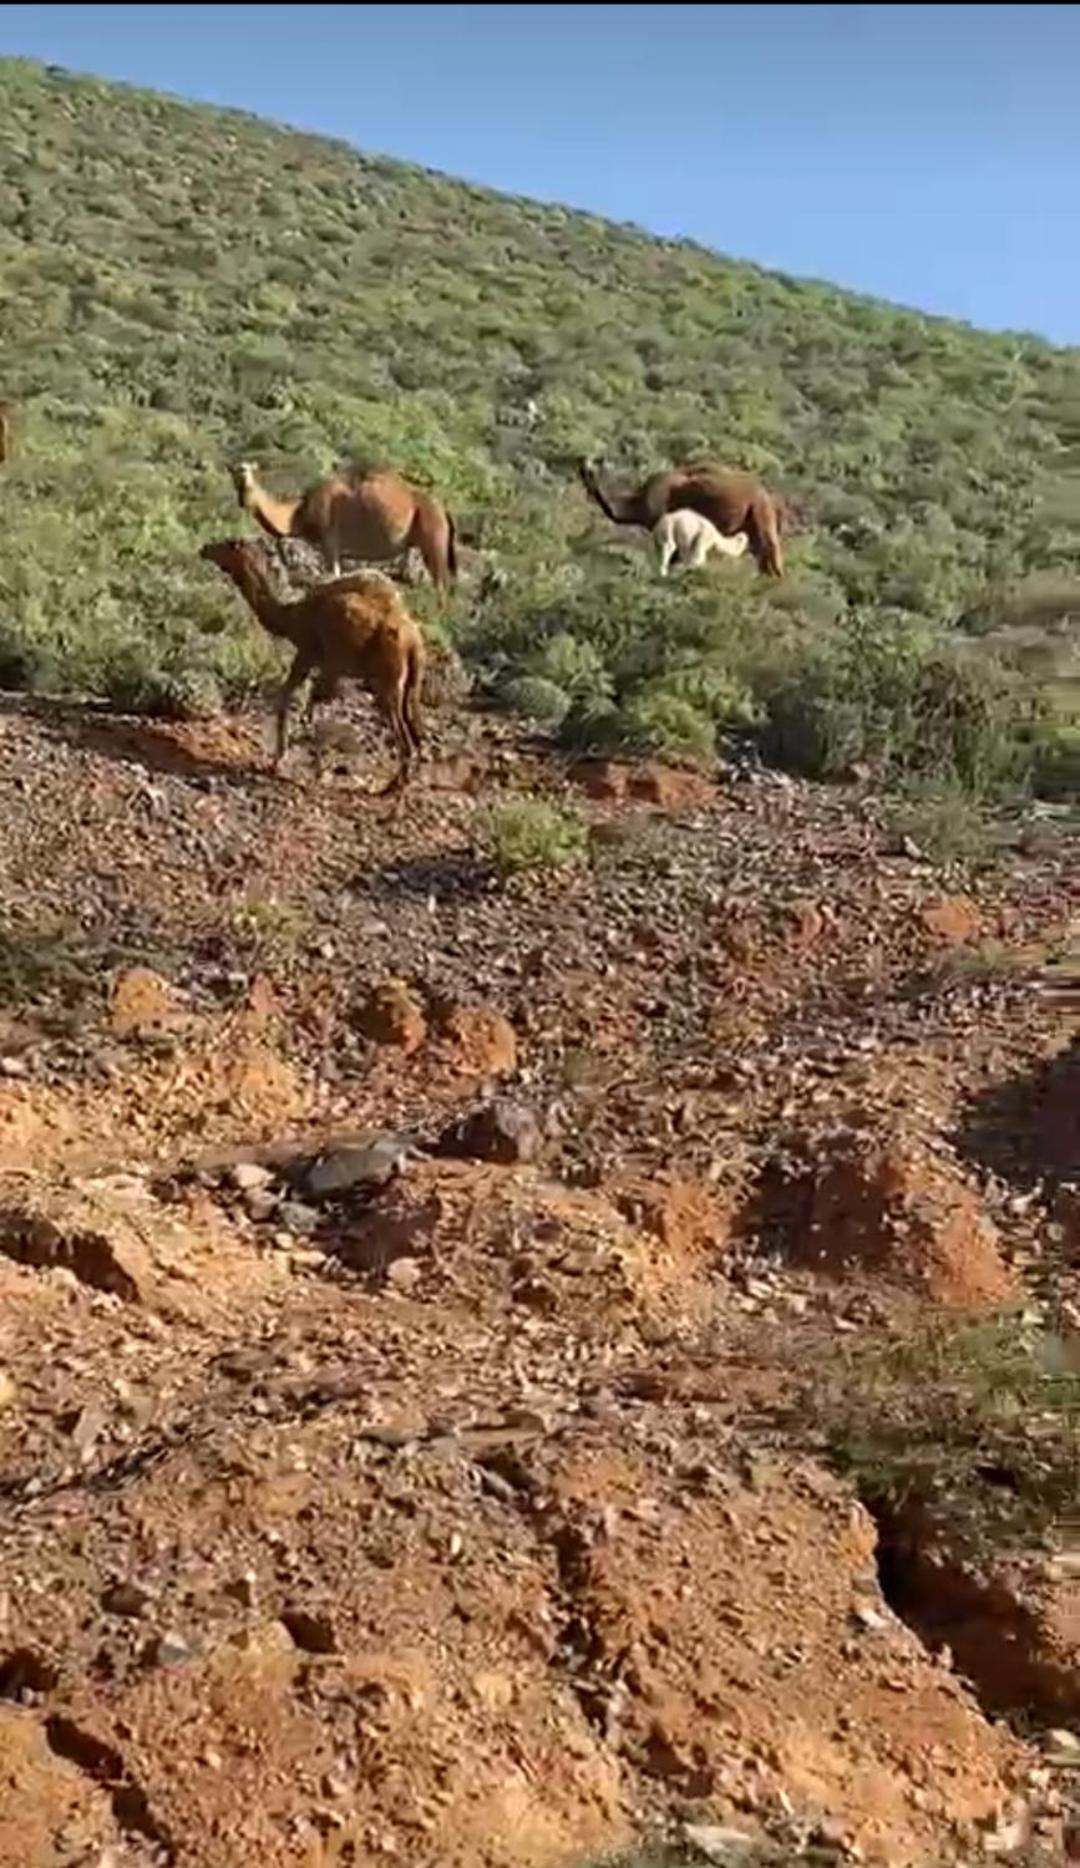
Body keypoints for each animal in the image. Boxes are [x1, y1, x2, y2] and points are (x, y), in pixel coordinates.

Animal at [228, 457, 455, 590]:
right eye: (235, 471)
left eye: (247, 469)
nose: (240, 475)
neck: (300, 512)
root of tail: (444, 510)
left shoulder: (329, 543)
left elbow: (333, 576)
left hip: (434, 539)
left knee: (440, 587)